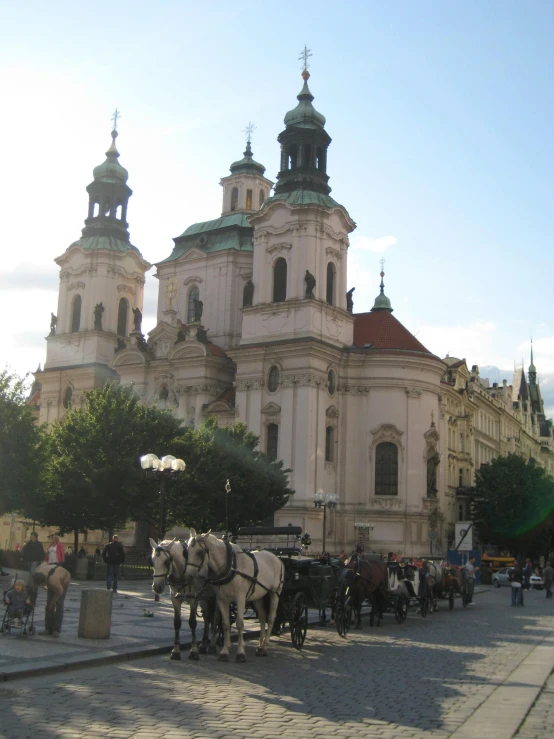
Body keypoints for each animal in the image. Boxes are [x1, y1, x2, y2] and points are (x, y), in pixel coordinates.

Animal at [184, 532, 282, 664]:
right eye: (187, 551)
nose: (188, 576)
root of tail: (276, 557)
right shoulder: (222, 599)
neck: (230, 566)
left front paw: (240, 653)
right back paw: (260, 646)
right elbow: (225, 624)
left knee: (271, 618)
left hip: (274, 593)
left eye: (200, 552)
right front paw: (225, 652)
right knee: (262, 617)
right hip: (258, 597)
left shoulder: (240, 598)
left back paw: (265, 647)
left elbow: (240, 624)